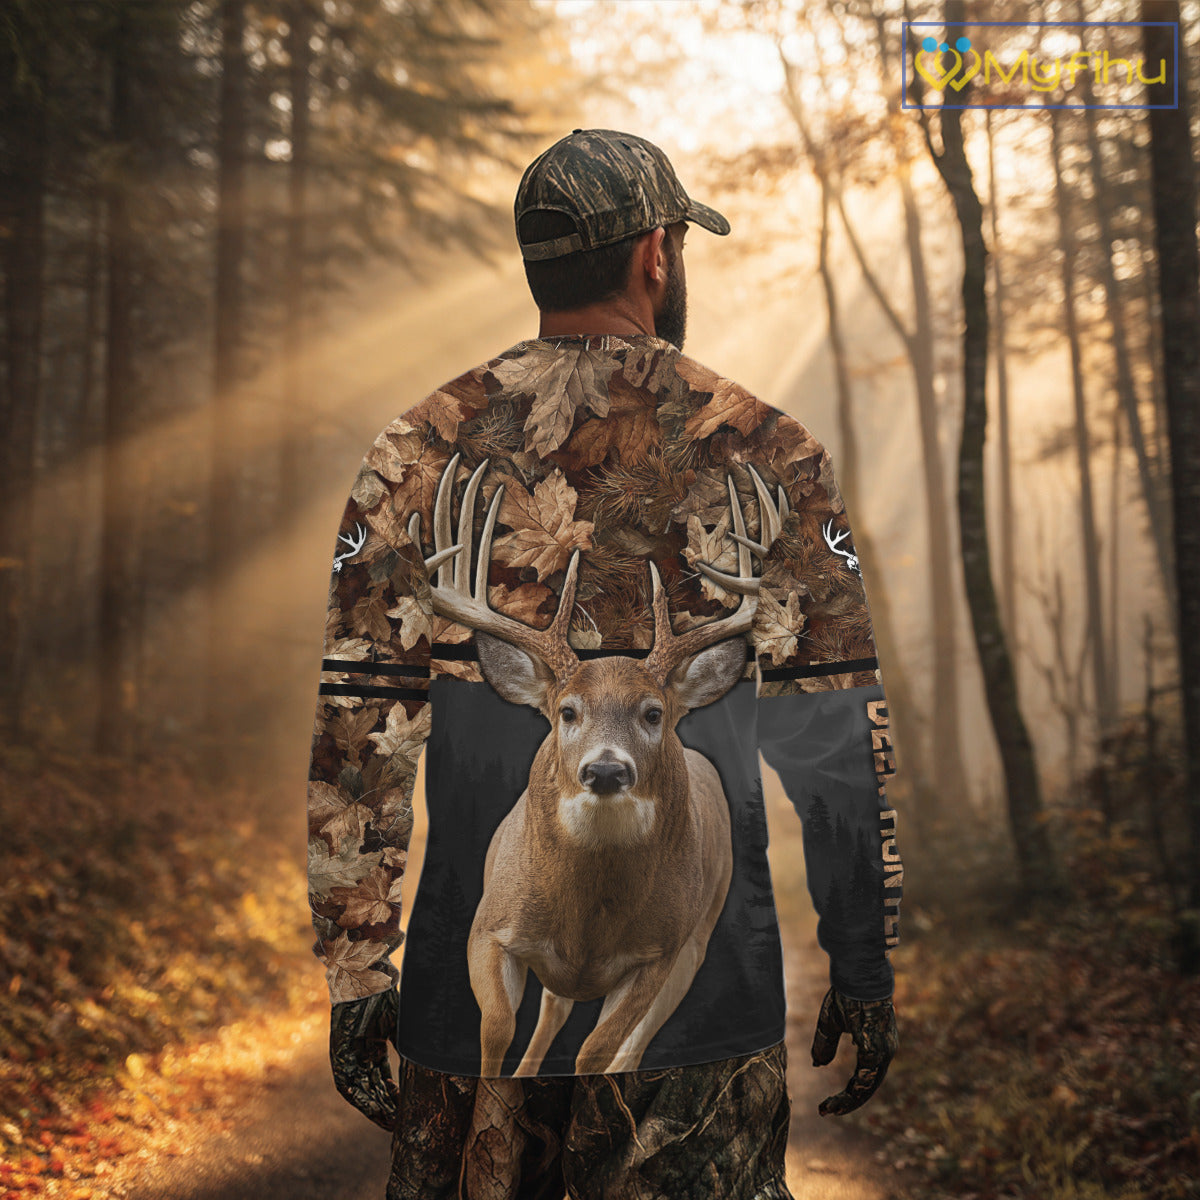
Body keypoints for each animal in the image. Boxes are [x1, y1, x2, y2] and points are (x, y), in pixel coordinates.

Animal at [408, 453, 789, 1076]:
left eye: (654, 712)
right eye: (567, 710)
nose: (606, 771)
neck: (586, 918)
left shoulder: (660, 953)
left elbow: (596, 1052)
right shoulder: (489, 928)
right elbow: (495, 1031)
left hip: (697, 941)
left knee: (628, 1043)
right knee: (551, 1013)